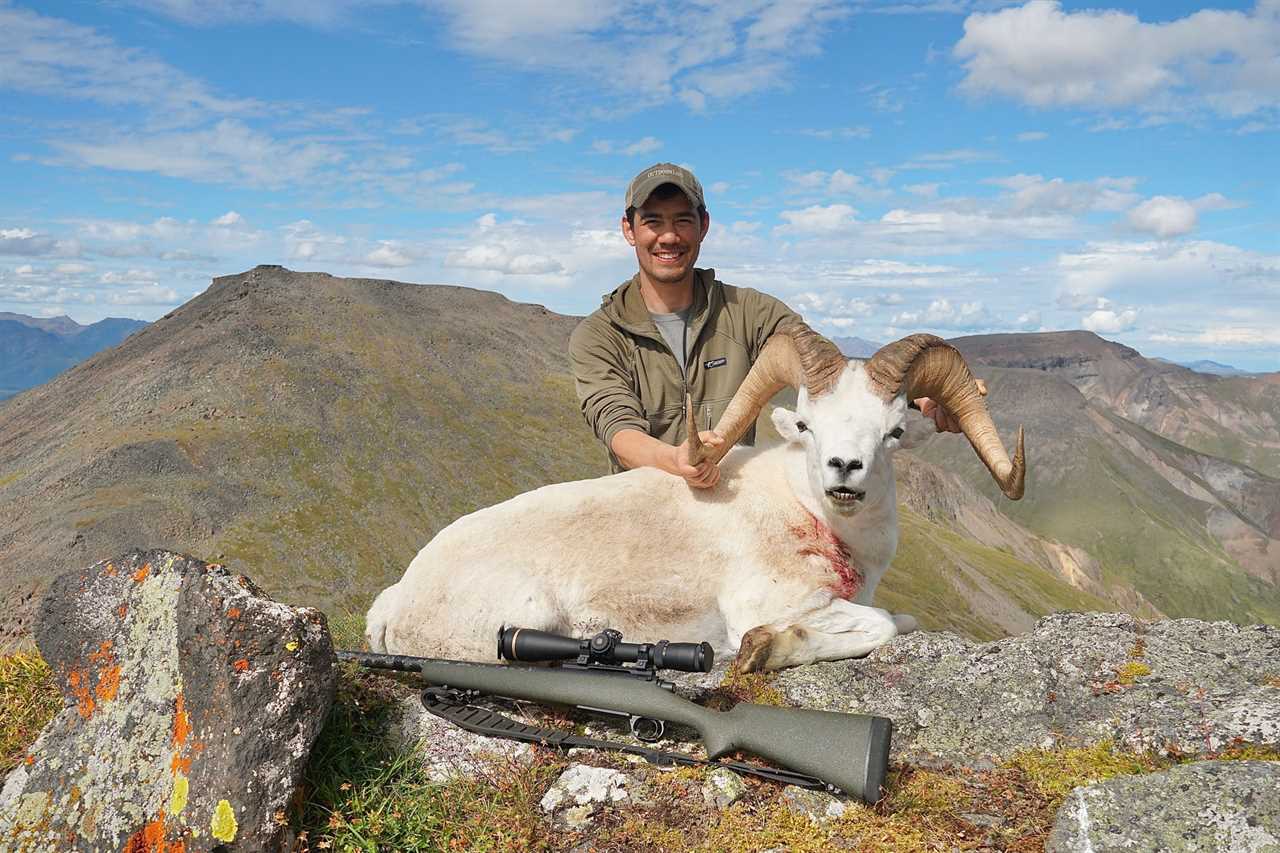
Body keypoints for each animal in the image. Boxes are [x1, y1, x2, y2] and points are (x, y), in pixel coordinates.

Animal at [367, 322, 1025, 671]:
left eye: (893, 431)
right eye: (807, 425)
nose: (845, 470)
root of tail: (398, 601)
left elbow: (900, 619)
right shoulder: (769, 602)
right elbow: (884, 624)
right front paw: (761, 650)